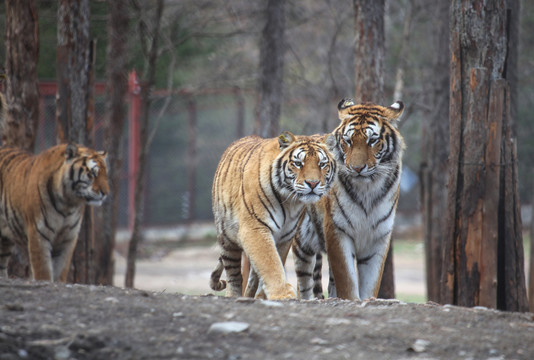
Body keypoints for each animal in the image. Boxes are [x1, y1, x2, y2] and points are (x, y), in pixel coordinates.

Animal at [0, 139, 109, 282]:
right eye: (92, 174)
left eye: (105, 175)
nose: (106, 193)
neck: (68, 204)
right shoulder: (38, 234)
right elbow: (43, 272)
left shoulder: (68, 238)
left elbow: (60, 272)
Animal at [208, 131, 336, 300]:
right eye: (298, 163)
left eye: (322, 164)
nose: (313, 183)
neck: (290, 202)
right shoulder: (255, 228)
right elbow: (270, 262)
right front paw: (283, 294)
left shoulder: (285, 236)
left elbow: (275, 261)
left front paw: (264, 295)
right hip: (226, 239)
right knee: (233, 275)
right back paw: (234, 295)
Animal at [294, 98, 406, 300]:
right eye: (348, 140)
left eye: (372, 140)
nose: (357, 168)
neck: (368, 189)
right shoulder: (337, 231)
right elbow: (347, 280)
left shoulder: (379, 236)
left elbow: (370, 283)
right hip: (301, 242)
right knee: (303, 282)